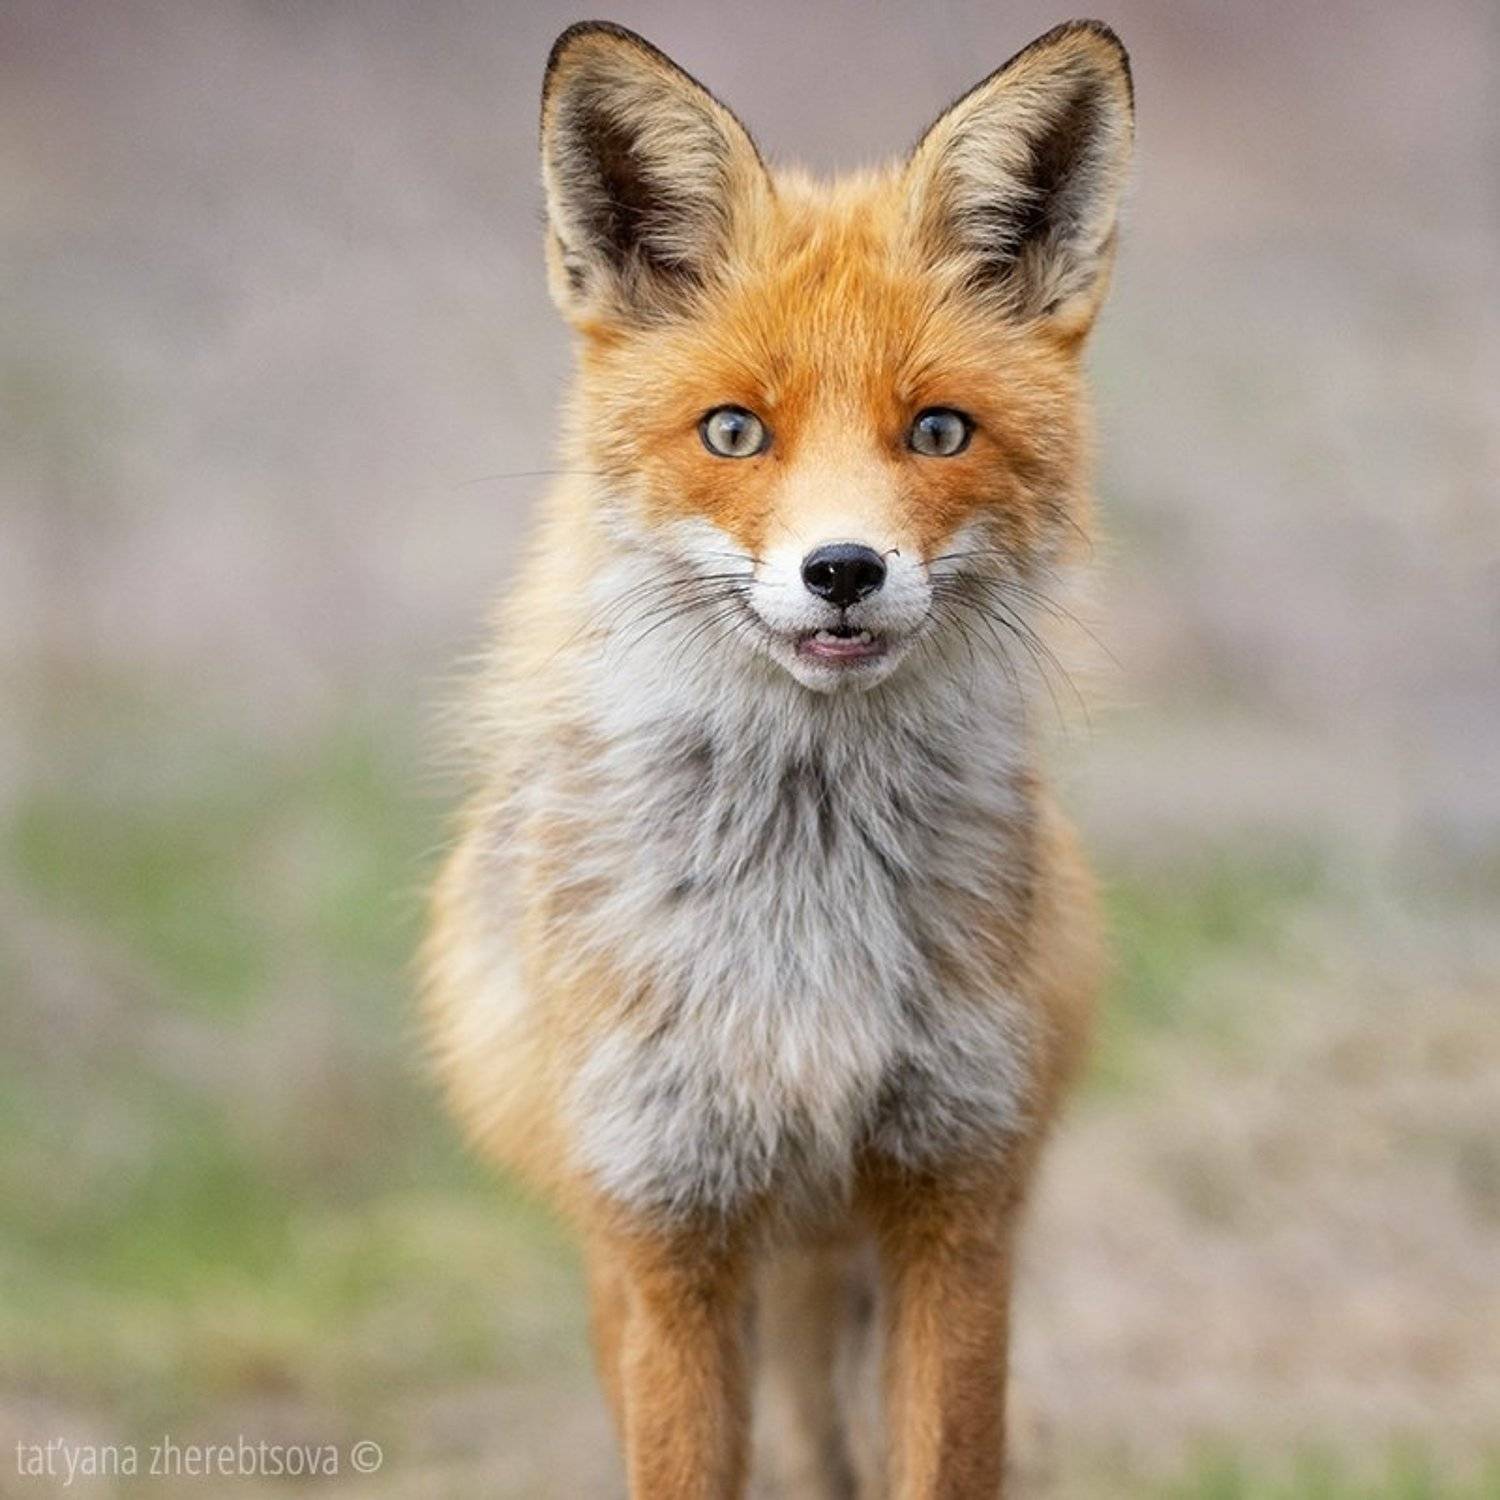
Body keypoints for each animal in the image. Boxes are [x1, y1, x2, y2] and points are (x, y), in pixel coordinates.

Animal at [423, 17, 1133, 1498]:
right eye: (734, 431)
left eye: (939, 430)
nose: (844, 569)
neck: (801, 934)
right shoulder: (664, 1225)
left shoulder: (955, 1197)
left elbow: (943, 1461)